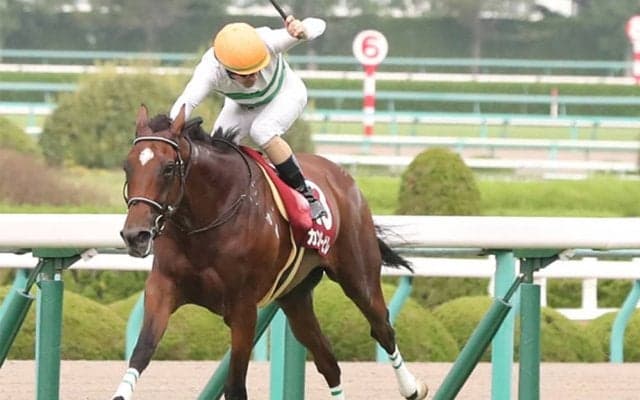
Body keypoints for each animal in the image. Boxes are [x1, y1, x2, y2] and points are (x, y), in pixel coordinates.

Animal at [114, 104, 428, 400]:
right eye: (127, 167)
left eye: (168, 168)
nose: (135, 235)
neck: (207, 219)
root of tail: (343, 177)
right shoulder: (163, 288)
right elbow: (142, 352)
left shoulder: (243, 308)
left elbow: (236, 386)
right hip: (295, 297)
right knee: (328, 362)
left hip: (358, 276)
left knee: (382, 328)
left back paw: (413, 387)